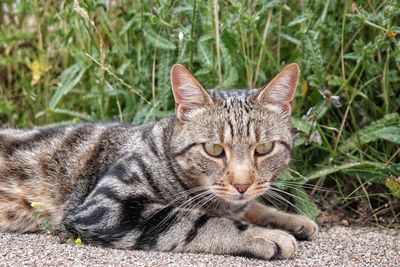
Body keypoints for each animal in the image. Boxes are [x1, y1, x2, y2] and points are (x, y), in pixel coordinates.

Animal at [0, 63, 318, 260]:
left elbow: (253, 207)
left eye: (264, 148)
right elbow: (201, 221)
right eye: (214, 149)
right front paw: (264, 235)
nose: (242, 184)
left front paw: (294, 220)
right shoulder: (106, 207)